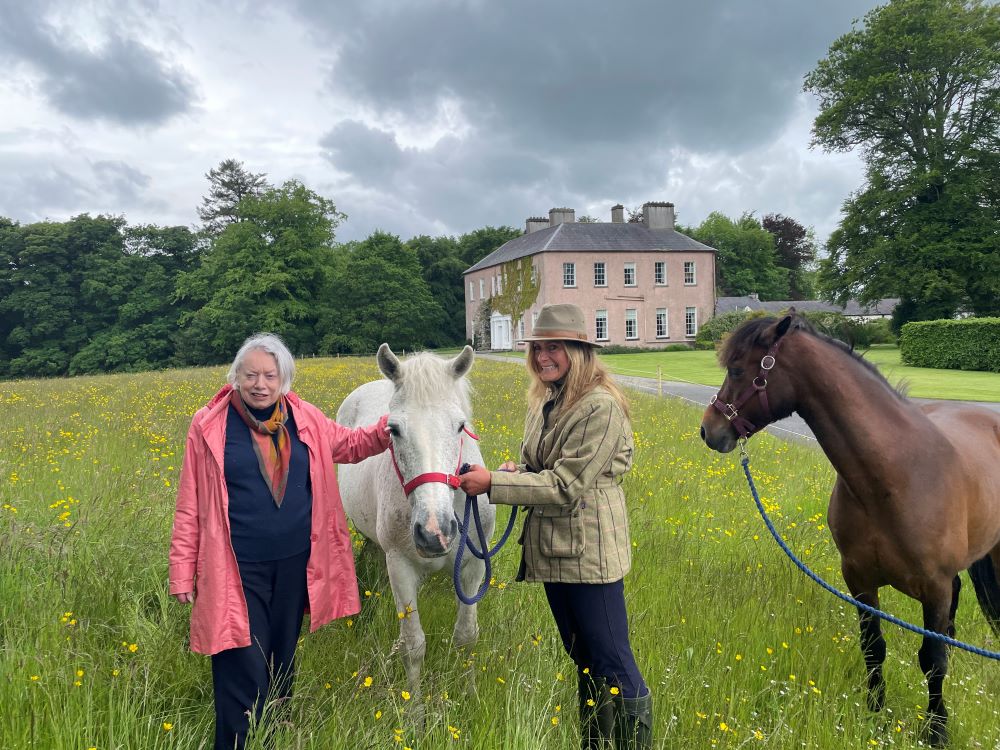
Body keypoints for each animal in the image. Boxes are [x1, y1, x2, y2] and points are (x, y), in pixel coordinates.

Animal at [336, 346, 492, 712]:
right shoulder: (401, 567)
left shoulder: (474, 566)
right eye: (393, 429)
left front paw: (470, 696)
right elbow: (413, 645)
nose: (435, 532)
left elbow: (467, 635)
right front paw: (415, 711)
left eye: (460, 426)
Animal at [700, 312, 1000, 748]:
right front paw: (875, 717)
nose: (709, 430)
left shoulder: (935, 586)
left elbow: (932, 659)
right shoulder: (860, 580)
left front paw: (936, 730)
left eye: (738, 369)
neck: (894, 477)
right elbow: (874, 648)